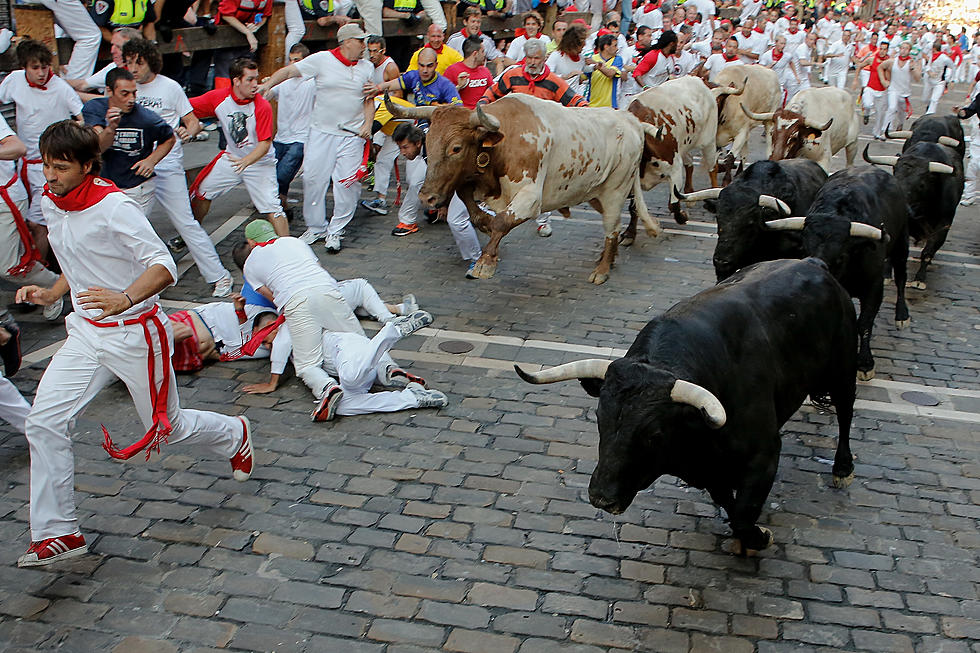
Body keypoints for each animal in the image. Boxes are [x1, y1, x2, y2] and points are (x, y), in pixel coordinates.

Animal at [382, 93, 660, 282]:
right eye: (427, 141)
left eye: (456, 148)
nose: (426, 197)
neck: (504, 143)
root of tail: (630, 120)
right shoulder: (473, 183)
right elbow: (474, 209)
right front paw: (483, 226)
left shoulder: (530, 197)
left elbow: (502, 222)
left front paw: (485, 261)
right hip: (595, 193)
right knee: (614, 225)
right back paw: (608, 260)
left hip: (615, 189)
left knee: (612, 228)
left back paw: (601, 270)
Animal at [516, 258, 852, 552]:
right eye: (600, 418)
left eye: (653, 435)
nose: (602, 498)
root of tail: (812, 262)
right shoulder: (712, 473)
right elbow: (730, 505)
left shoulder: (765, 453)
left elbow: (744, 513)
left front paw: (758, 538)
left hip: (842, 367)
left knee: (846, 414)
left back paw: (843, 469)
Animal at [620, 76, 744, 239]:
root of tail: (701, 81)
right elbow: (634, 208)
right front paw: (630, 232)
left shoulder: (674, 168)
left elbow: (674, 204)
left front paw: (682, 216)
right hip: (684, 145)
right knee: (690, 163)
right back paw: (690, 191)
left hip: (709, 140)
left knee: (712, 168)